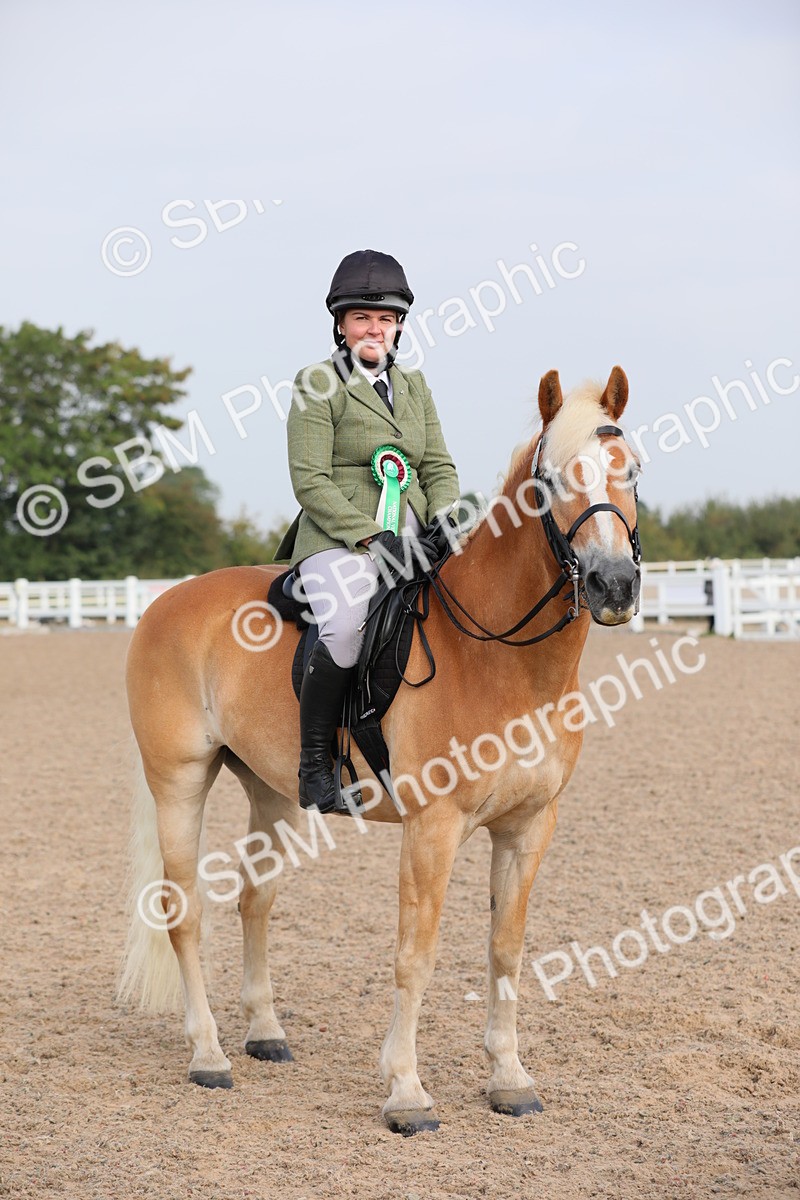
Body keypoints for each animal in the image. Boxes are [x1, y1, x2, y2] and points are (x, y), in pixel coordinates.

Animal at [119, 366, 641, 1135]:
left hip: (273, 790)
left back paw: (264, 1033)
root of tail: (166, 603)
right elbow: (414, 957)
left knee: (255, 900)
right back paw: (208, 1054)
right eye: (547, 481)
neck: (503, 659)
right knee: (183, 909)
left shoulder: (529, 826)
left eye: (632, 470)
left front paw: (509, 1078)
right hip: (179, 782)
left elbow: (506, 950)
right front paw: (406, 1092)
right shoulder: (433, 828)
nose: (615, 585)